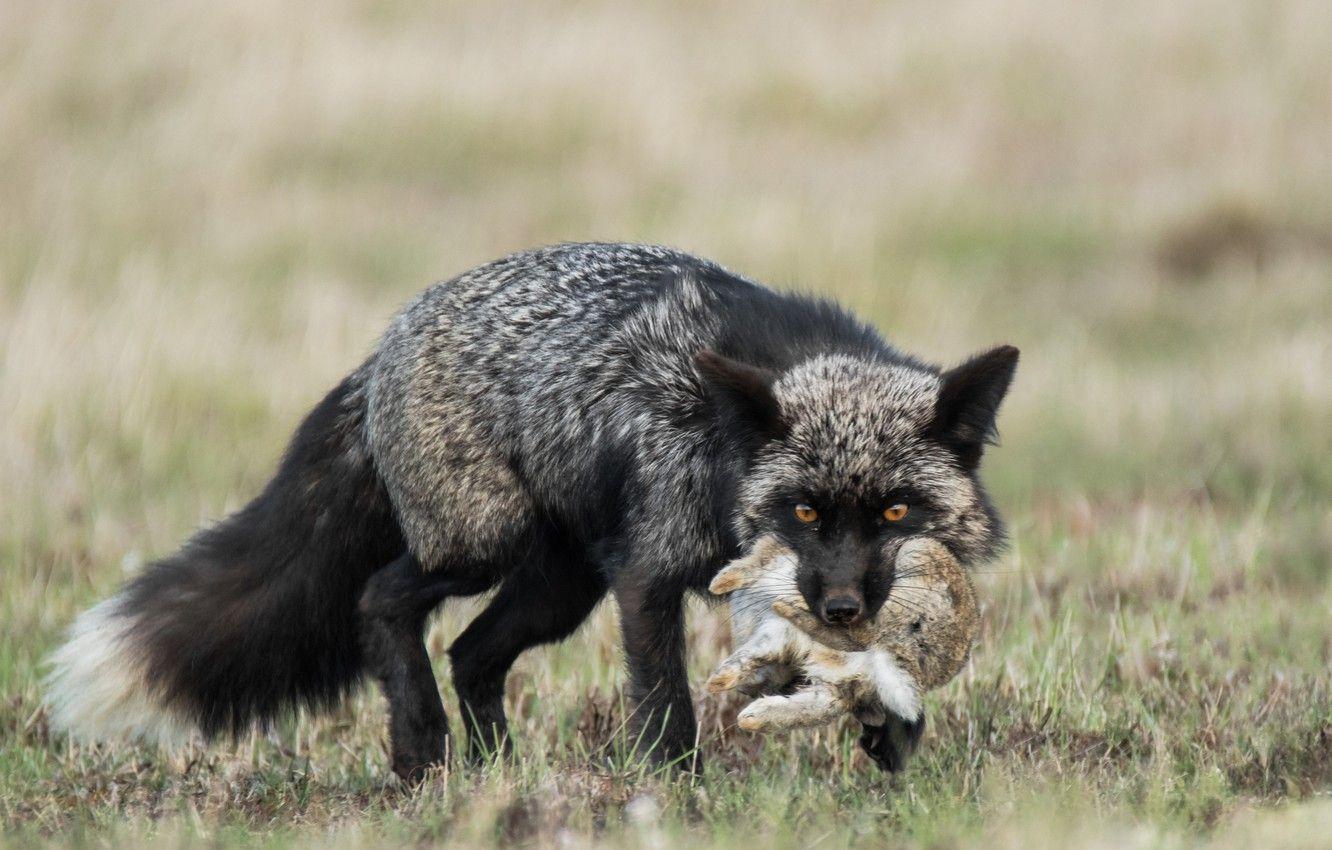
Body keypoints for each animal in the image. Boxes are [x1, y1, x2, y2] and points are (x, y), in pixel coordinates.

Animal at [45, 242, 1017, 780]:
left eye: (895, 513)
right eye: (806, 514)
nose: (844, 608)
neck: (718, 439)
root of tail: (380, 350)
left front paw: (890, 746)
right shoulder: (647, 576)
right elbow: (665, 704)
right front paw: (677, 793)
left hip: (559, 588)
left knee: (472, 654)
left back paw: (493, 774)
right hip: (484, 546)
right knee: (381, 601)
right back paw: (421, 752)